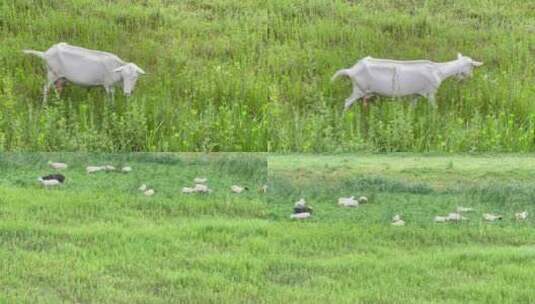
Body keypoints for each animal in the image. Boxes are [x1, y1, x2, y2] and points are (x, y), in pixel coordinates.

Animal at [332, 53, 484, 109]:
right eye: (471, 66)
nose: (470, 77)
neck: (438, 71)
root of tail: (352, 70)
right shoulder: (430, 92)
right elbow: (434, 107)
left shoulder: (416, 94)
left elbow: (412, 107)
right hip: (359, 89)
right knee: (347, 101)